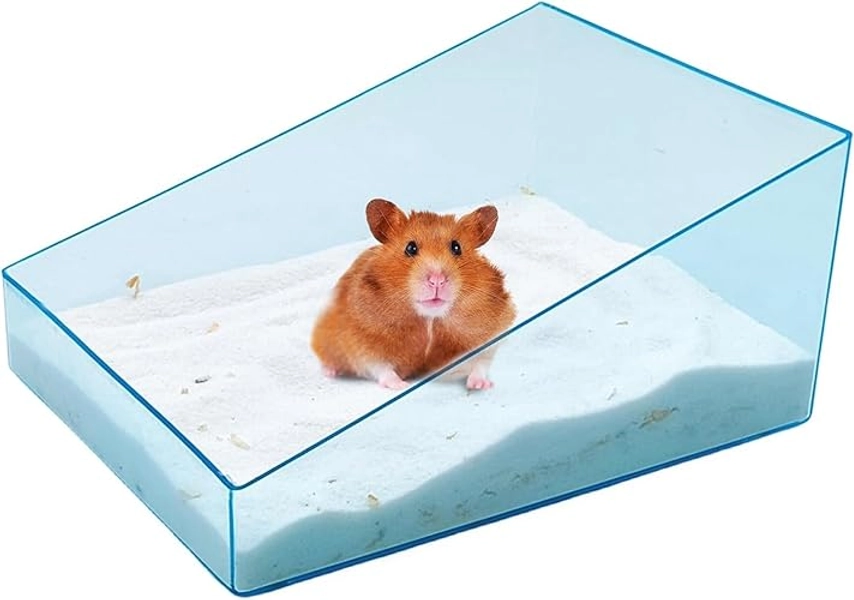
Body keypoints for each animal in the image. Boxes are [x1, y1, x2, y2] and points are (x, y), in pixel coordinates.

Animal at [310, 198, 516, 391]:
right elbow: (380, 366)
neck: (429, 319)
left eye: (456, 247)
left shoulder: (489, 331)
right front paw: (401, 385)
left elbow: (481, 361)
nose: (437, 280)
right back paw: (330, 372)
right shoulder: (359, 339)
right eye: (410, 248)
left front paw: (480, 385)